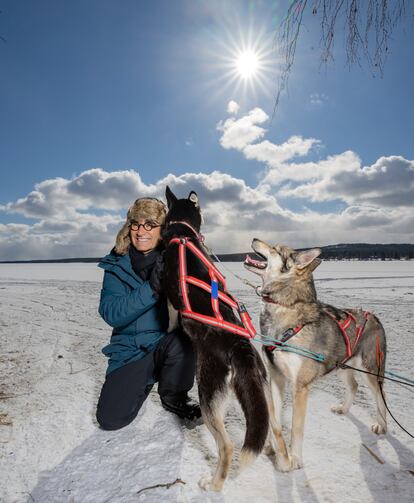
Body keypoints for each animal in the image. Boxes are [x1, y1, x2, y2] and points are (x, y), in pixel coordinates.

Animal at [162, 186, 268, 492]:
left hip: (208, 395)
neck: (182, 233)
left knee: (228, 446)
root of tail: (240, 346)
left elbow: (170, 318)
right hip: (261, 389)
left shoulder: (169, 299)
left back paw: (214, 484)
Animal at [244, 240, 386, 472]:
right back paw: (344, 408)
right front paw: (273, 447)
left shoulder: (300, 387)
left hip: (370, 371)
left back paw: (382, 425)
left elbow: (296, 427)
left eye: (275, 249)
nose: (255, 238)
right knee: (354, 386)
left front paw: (294, 459)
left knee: (380, 396)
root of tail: (373, 316)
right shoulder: (276, 378)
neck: (285, 308)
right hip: (342, 366)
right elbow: (275, 419)